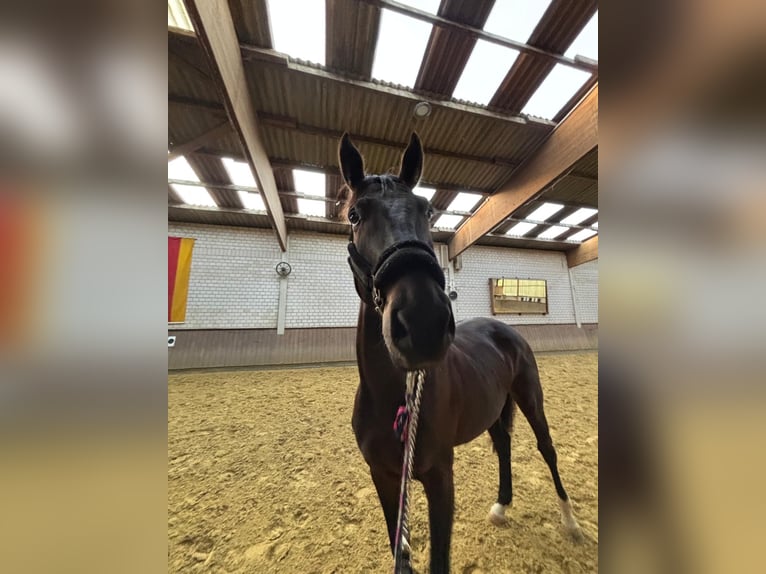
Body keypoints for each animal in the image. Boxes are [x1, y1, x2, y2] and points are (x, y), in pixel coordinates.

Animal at [339, 132, 583, 573]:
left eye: (427, 209)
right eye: (355, 215)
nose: (423, 321)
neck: (393, 399)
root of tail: (505, 329)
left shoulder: (440, 477)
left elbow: (440, 560)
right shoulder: (383, 477)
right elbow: (400, 555)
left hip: (530, 398)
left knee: (547, 449)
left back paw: (570, 522)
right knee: (503, 443)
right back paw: (502, 506)